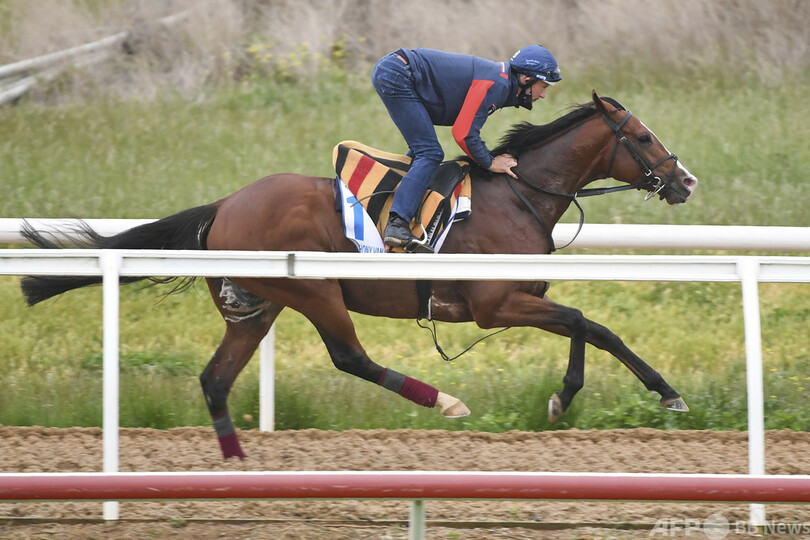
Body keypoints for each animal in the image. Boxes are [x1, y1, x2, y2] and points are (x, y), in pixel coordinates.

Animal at [22, 90, 696, 458]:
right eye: (641, 137)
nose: (686, 181)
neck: (518, 196)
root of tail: (224, 206)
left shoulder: (517, 300)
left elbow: (599, 329)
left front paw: (663, 392)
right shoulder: (495, 304)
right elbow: (585, 322)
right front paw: (564, 397)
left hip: (255, 308)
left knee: (215, 380)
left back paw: (236, 464)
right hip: (314, 289)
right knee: (349, 357)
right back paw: (444, 400)